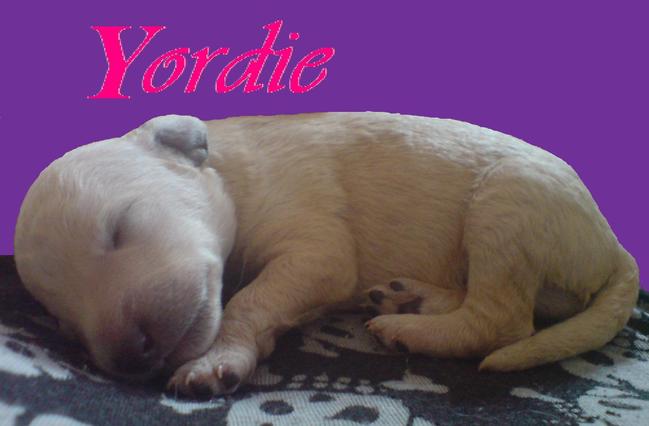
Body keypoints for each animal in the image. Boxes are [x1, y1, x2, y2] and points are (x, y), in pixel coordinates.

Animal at [14, 112, 639, 397]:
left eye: (119, 228)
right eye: (65, 325)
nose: (128, 355)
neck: (231, 173)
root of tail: (614, 247)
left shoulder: (316, 250)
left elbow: (249, 300)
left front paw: (216, 359)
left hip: (505, 205)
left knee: (502, 320)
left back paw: (409, 328)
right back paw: (411, 299)